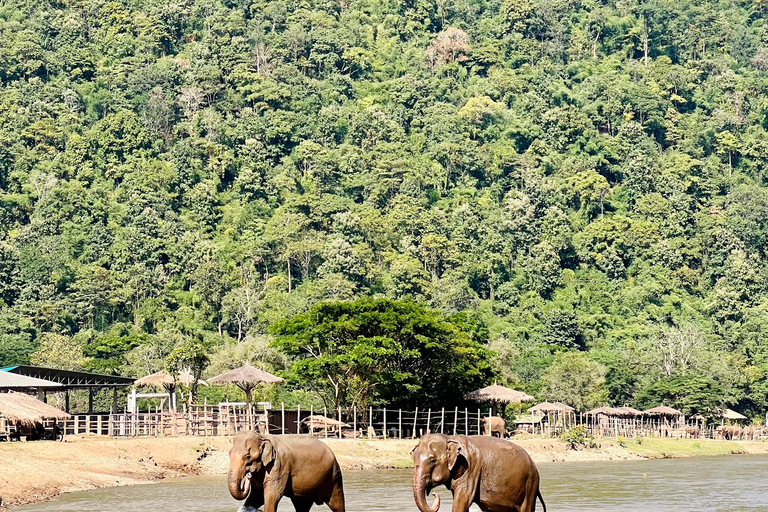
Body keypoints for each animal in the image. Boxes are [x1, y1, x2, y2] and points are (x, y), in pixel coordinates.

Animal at [408, 434, 544, 512]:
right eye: (412, 456)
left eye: (432, 461)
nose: (435, 494)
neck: (450, 437)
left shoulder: (470, 468)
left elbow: (463, 499)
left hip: (530, 485)